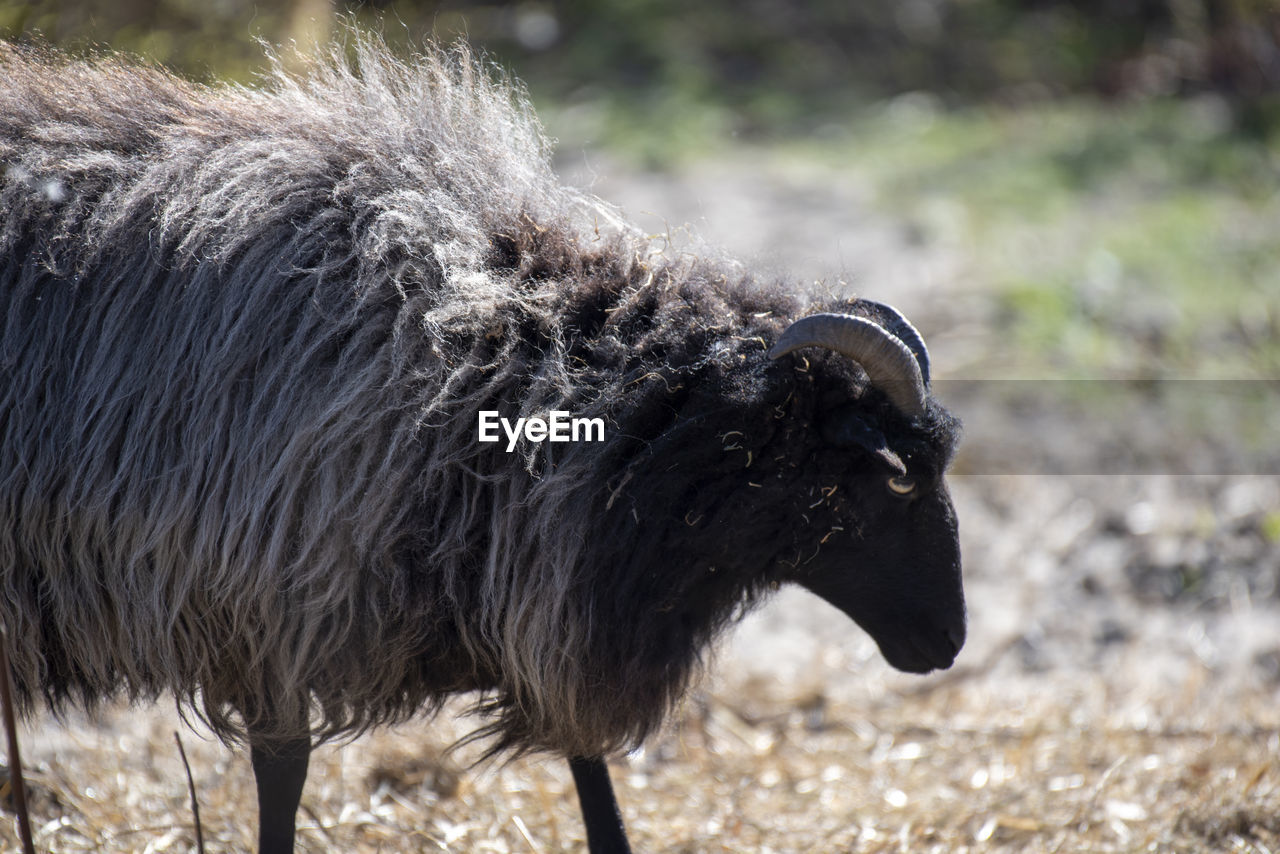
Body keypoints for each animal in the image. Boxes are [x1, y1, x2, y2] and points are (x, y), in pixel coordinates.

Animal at [0, 35, 962, 854]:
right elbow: (284, 771)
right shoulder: (269, 597)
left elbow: (588, 767)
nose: (947, 642)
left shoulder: (526, 585)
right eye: (893, 477)